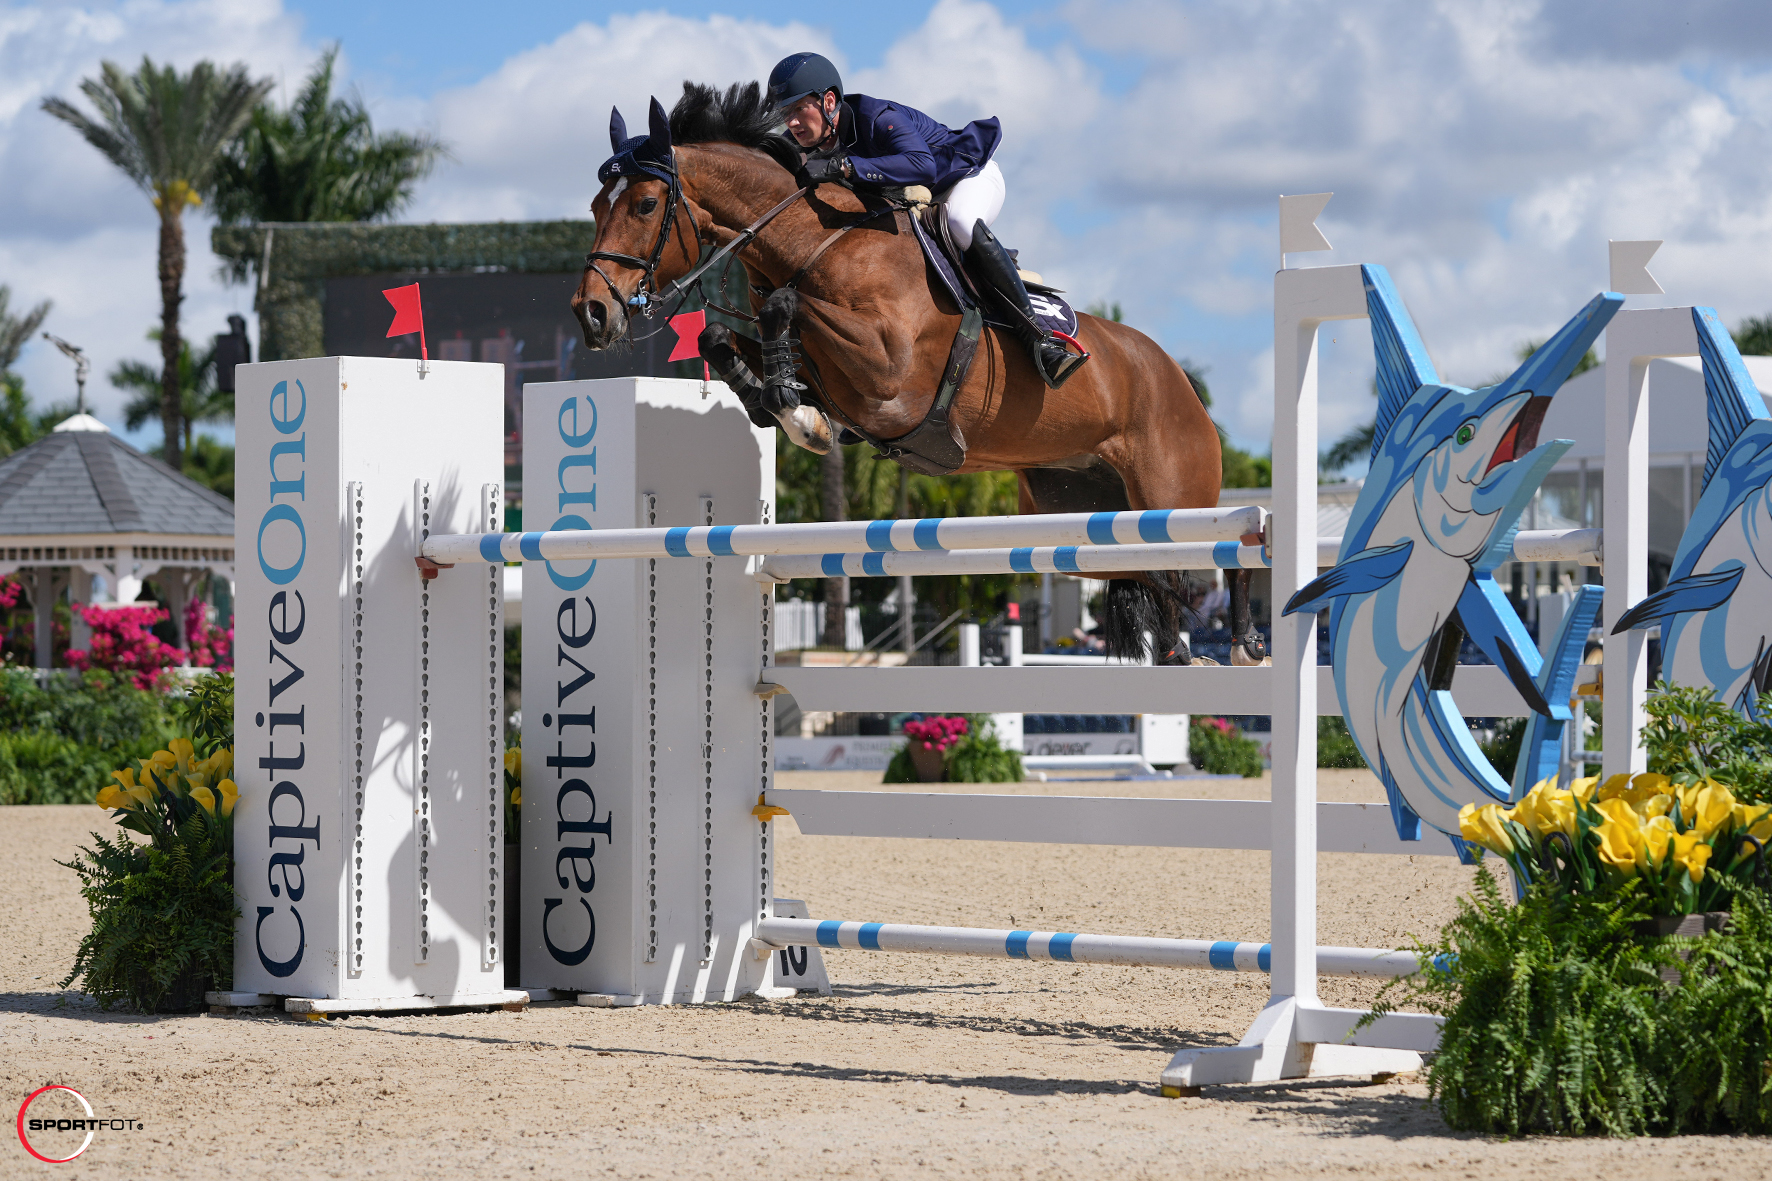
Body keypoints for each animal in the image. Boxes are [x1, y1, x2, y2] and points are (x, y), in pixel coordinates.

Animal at [567, 82, 1261, 663]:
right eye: (597, 204)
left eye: (646, 203)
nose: (591, 313)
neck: (821, 242)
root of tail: (1179, 380)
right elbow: (723, 334)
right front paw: (788, 407)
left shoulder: (891, 378)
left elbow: (785, 305)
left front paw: (795, 405)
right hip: (1085, 523)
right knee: (1154, 577)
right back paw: (1181, 651)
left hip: (1174, 494)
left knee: (1230, 545)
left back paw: (1246, 640)